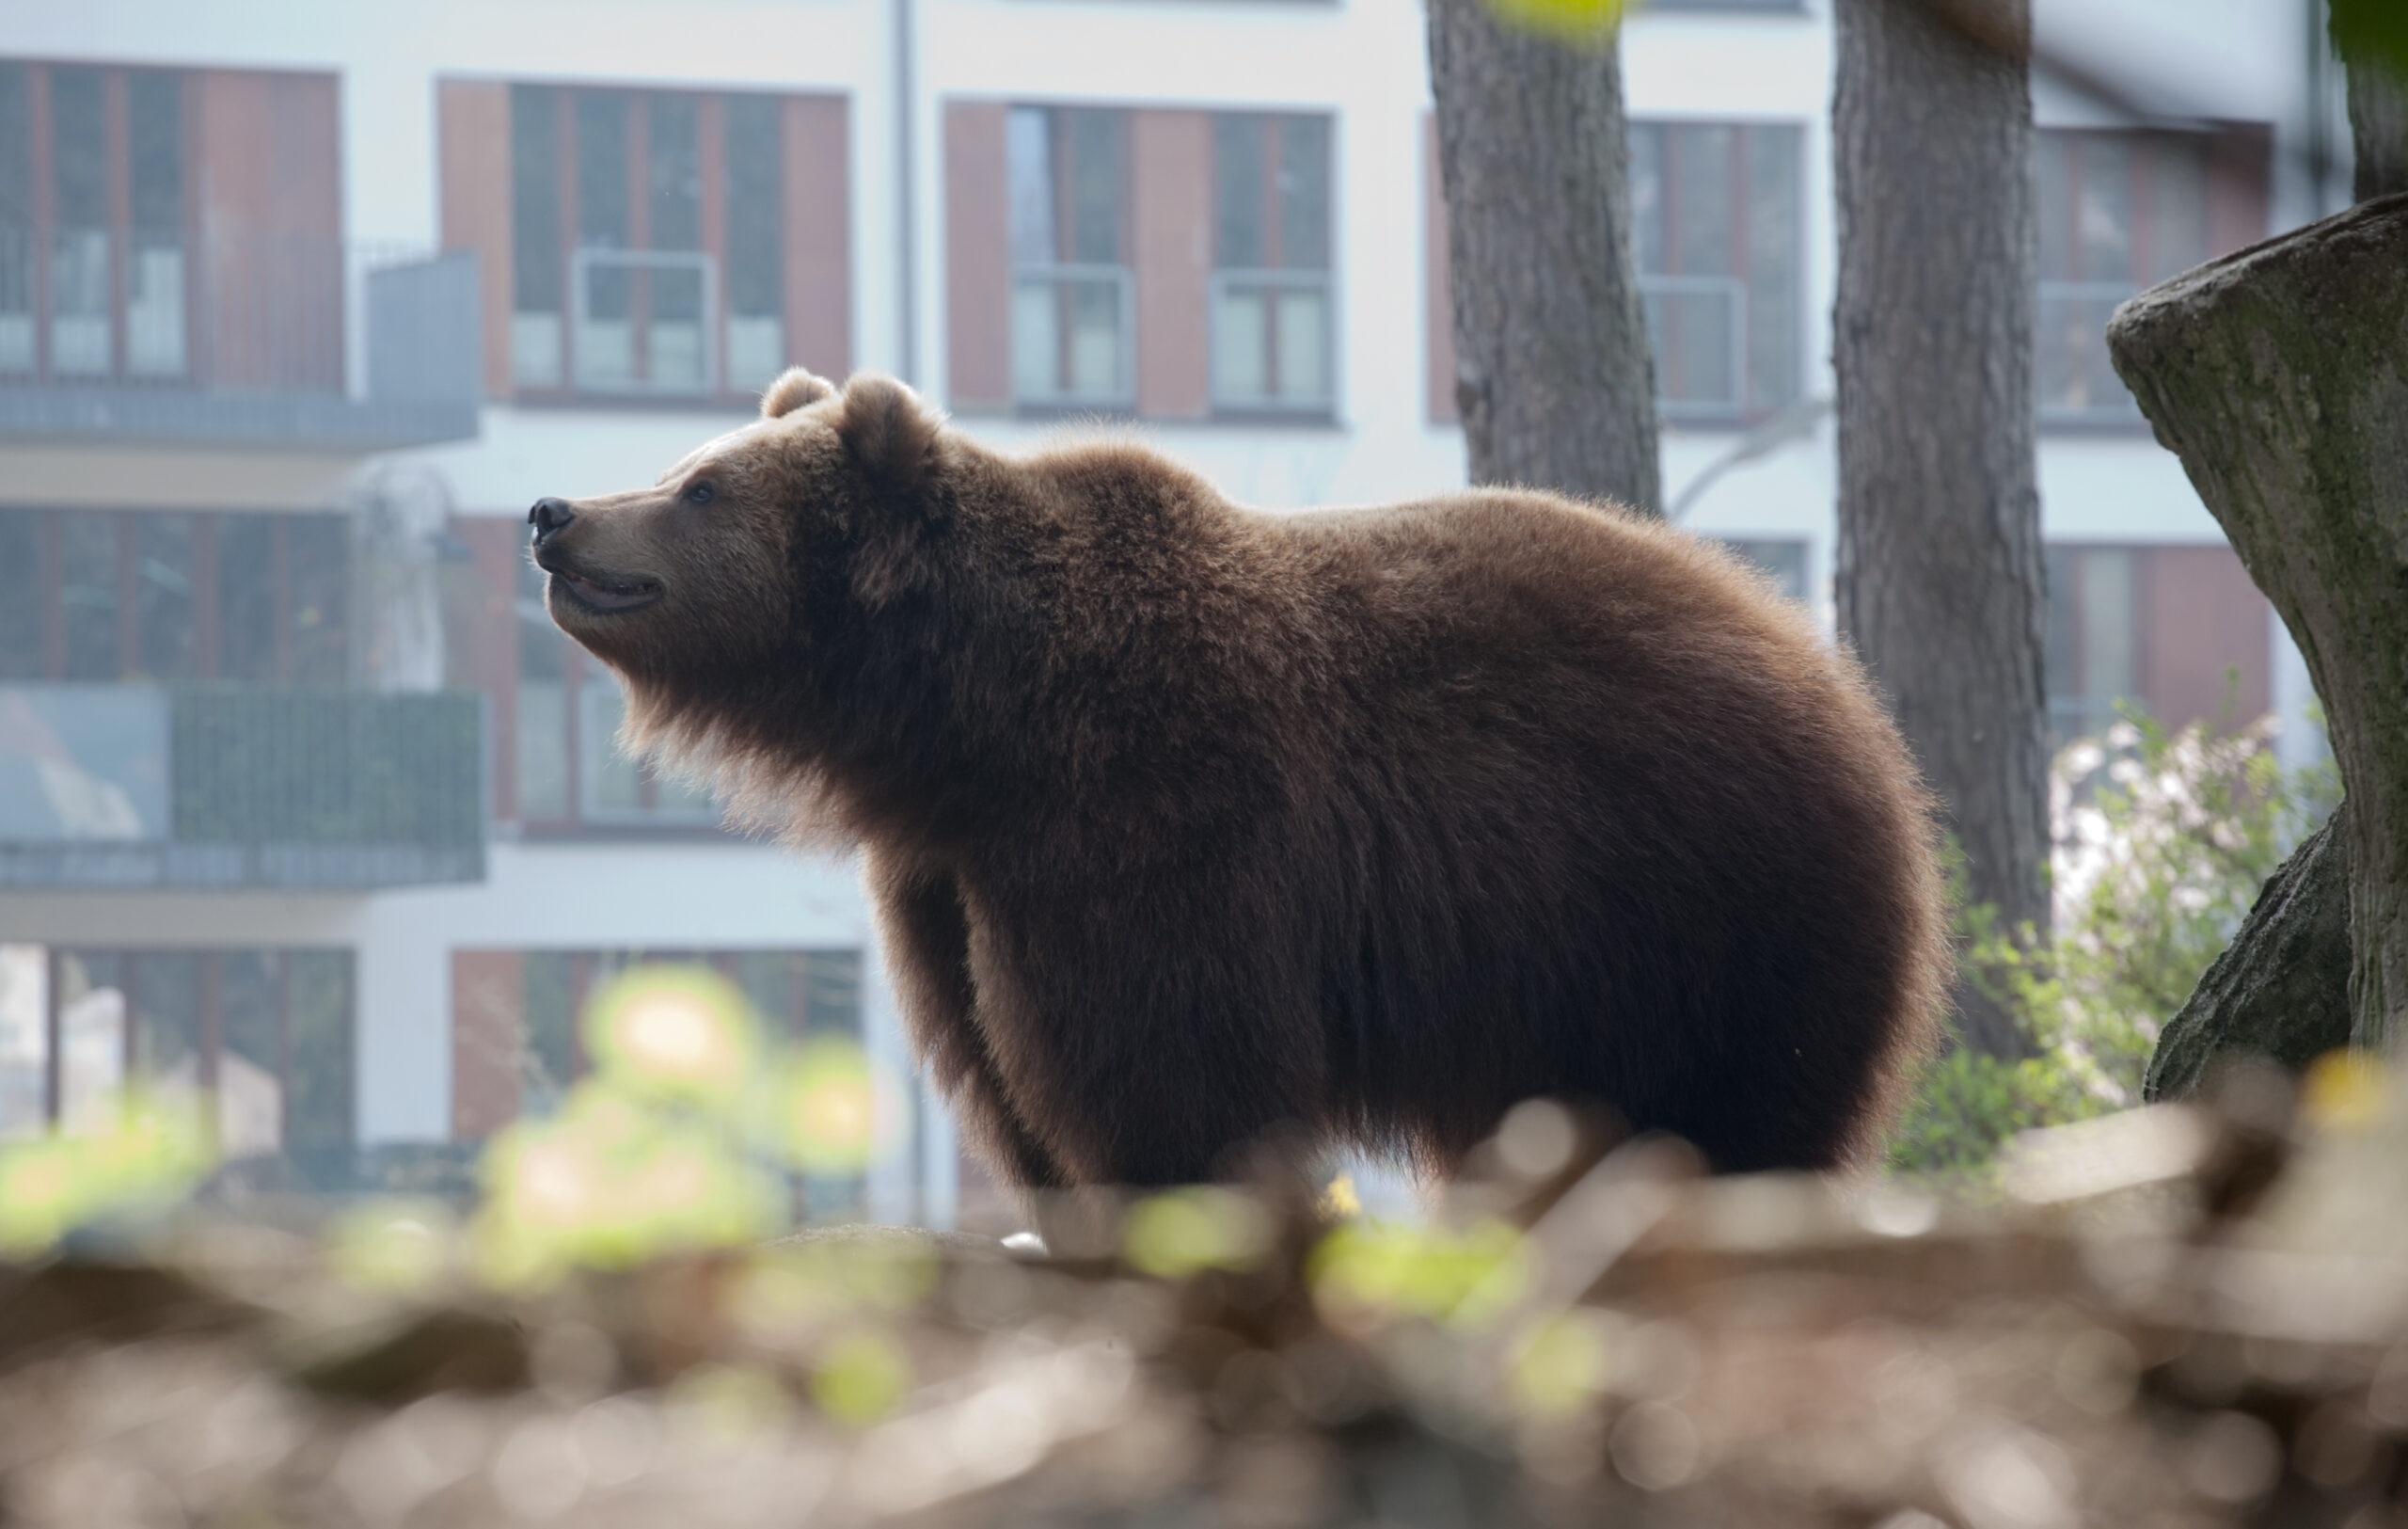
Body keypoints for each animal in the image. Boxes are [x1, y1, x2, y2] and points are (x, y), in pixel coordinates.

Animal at [531, 365, 1955, 1189]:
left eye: (701, 486)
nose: (556, 513)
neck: (971, 716)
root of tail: (1835, 676)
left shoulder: (1153, 809)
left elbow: (1167, 1061)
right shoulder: (948, 873)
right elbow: (1001, 1062)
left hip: (1703, 902)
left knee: (1735, 1104)